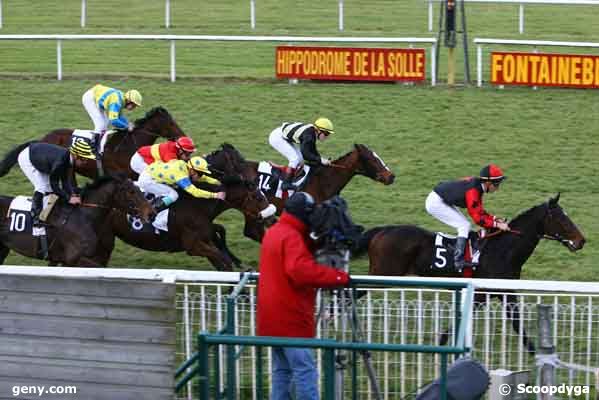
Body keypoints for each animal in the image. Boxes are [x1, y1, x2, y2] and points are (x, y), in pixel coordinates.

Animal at [89, 177, 276, 270]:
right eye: (258, 197)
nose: (273, 218)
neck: (199, 206)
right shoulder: (193, 246)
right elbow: (224, 260)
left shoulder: (205, 239)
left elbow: (221, 256)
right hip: (105, 240)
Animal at [356, 195, 584, 354]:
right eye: (562, 219)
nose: (581, 241)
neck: (502, 249)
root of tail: (381, 231)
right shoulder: (485, 292)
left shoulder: (502, 291)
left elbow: (515, 321)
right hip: (381, 275)